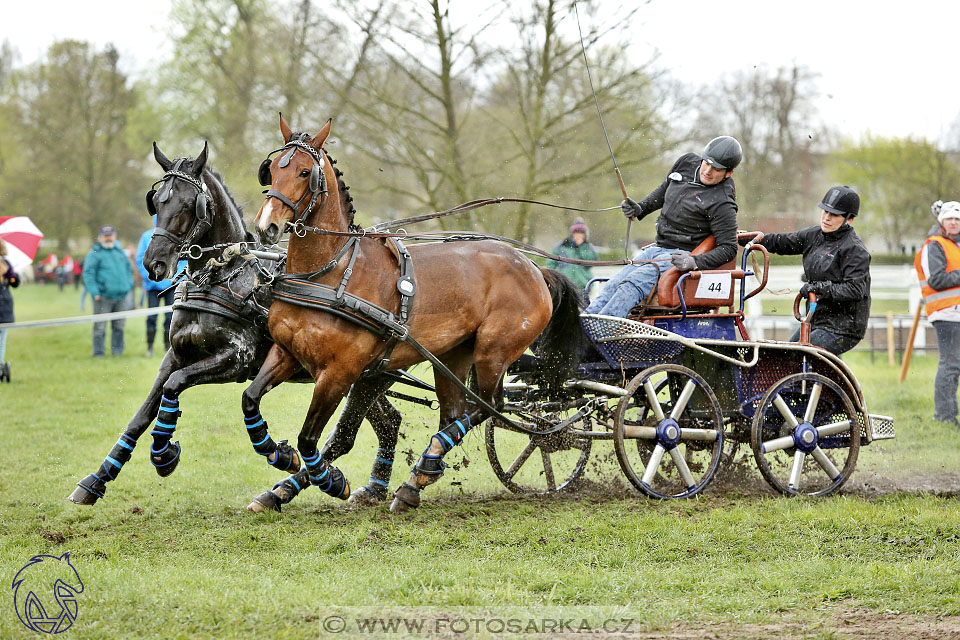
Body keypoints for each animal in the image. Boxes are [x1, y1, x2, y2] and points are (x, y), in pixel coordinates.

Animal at [67, 142, 404, 508]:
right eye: (156, 202)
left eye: (190, 204)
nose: (153, 263)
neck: (220, 277)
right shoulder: (175, 355)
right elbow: (143, 413)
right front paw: (98, 479)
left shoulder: (236, 360)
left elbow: (175, 384)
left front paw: (164, 453)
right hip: (355, 376)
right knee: (387, 422)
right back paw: (369, 489)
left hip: (358, 374)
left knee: (346, 434)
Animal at [248, 115, 580, 512]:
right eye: (271, 171)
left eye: (303, 172)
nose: (266, 227)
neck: (330, 272)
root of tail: (534, 268)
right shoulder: (287, 352)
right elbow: (251, 401)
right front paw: (277, 455)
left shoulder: (340, 372)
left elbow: (313, 438)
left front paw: (331, 480)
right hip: (453, 355)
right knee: (457, 413)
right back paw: (419, 477)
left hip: (494, 352)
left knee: (488, 406)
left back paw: (425, 465)